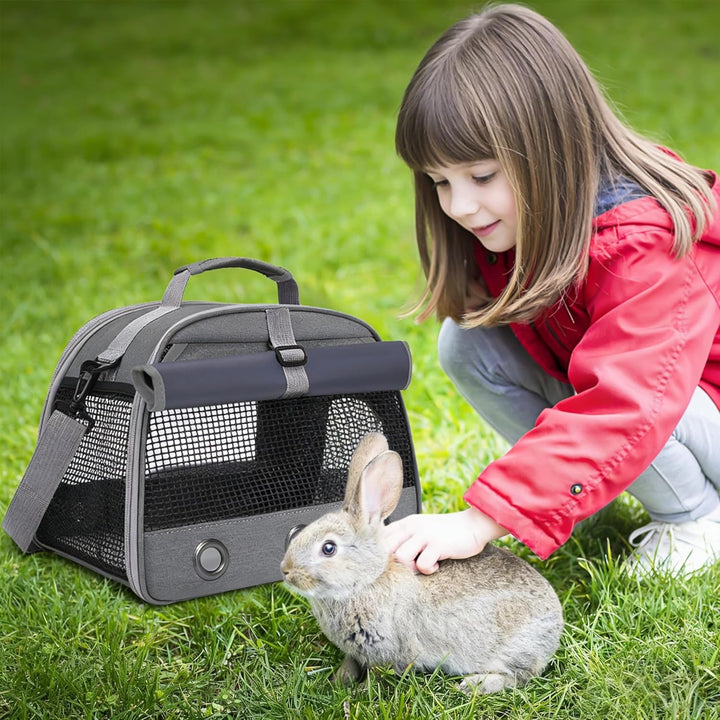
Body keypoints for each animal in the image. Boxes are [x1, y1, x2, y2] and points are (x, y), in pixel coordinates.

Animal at [280, 432, 564, 694]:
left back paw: (474, 684)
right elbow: (350, 663)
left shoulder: (386, 652)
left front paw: (361, 693)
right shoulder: (356, 651)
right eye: (296, 532)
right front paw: (338, 682)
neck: (366, 581)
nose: (286, 572)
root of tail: (555, 620)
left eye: (328, 548)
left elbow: (376, 675)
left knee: (520, 676)